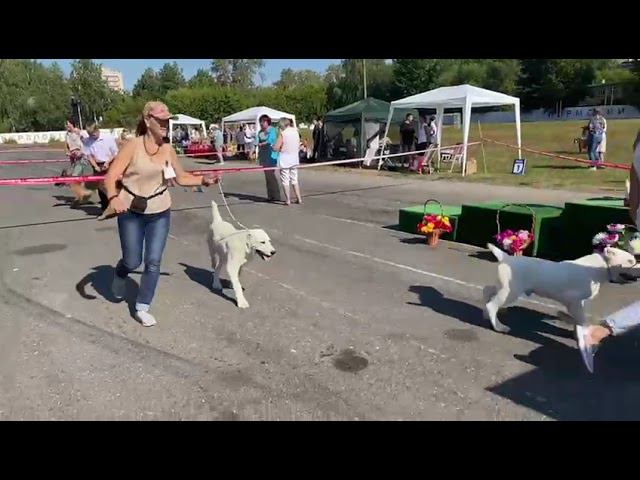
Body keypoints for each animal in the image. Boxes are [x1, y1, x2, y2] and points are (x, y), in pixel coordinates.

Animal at [482, 244, 636, 334]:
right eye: (630, 261)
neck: (601, 265)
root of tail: (506, 258)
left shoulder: (581, 302)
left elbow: (580, 317)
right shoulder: (574, 301)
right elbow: (581, 319)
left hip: (503, 288)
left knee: (487, 291)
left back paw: (486, 314)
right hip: (510, 292)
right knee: (492, 304)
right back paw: (499, 326)